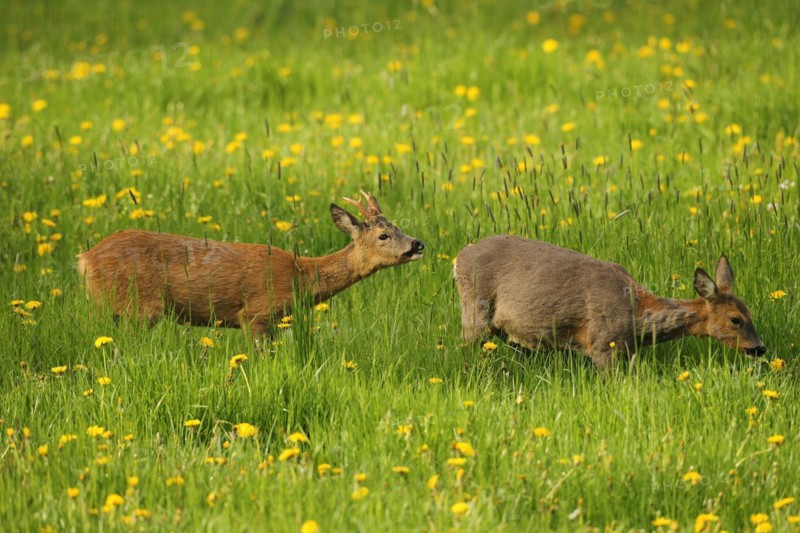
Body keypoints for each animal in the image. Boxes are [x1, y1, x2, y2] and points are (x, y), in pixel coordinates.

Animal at [77, 191, 424, 334]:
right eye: (383, 235)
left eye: (398, 227)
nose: (418, 244)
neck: (301, 276)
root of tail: (85, 259)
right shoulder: (255, 314)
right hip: (140, 306)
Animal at [454, 235, 766, 369]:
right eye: (735, 319)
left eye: (751, 312)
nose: (760, 348)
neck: (637, 318)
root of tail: (458, 258)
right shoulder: (603, 344)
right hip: (475, 308)